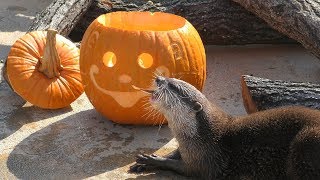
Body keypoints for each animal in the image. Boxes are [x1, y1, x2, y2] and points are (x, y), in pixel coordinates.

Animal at [129, 76, 318, 180]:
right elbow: (173, 153)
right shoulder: (187, 149)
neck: (198, 137)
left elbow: (178, 166)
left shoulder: (205, 159)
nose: (159, 79)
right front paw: (143, 162)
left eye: (173, 86)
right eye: (170, 78)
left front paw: (151, 160)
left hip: (305, 140)